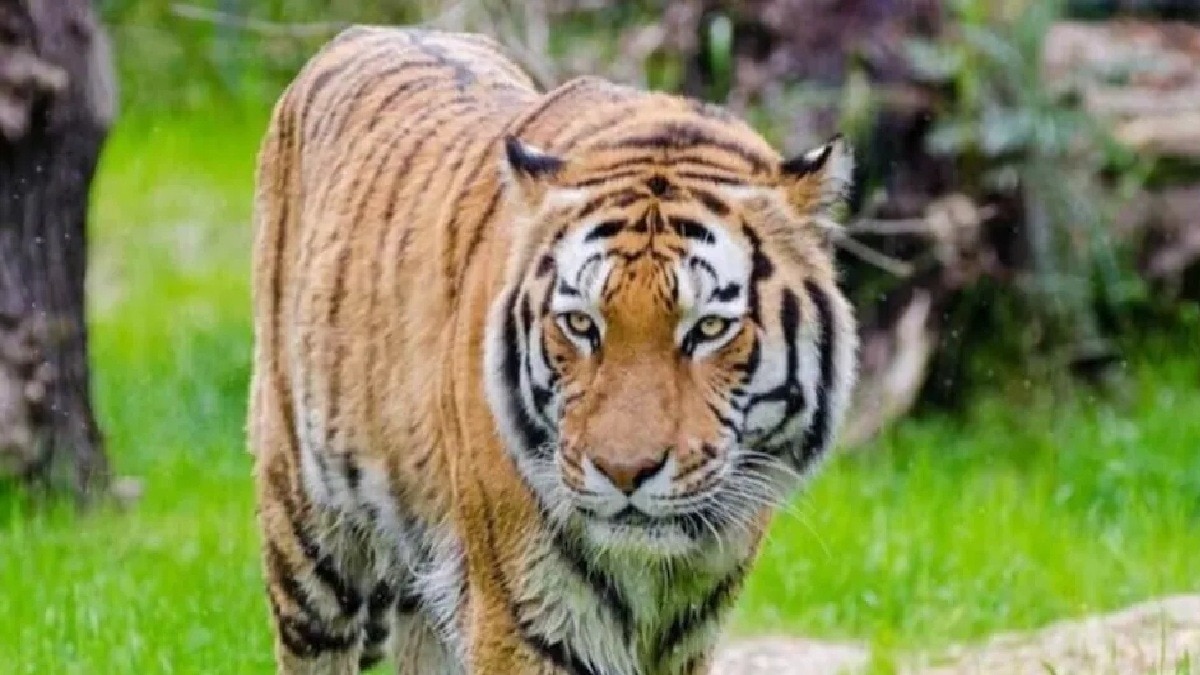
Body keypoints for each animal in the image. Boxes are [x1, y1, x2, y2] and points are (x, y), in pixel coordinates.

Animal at [248, 24, 858, 675]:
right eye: (582, 324)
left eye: (710, 328)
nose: (624, 473)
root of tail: (372, 30)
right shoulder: (526, 617)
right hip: (308, 540)